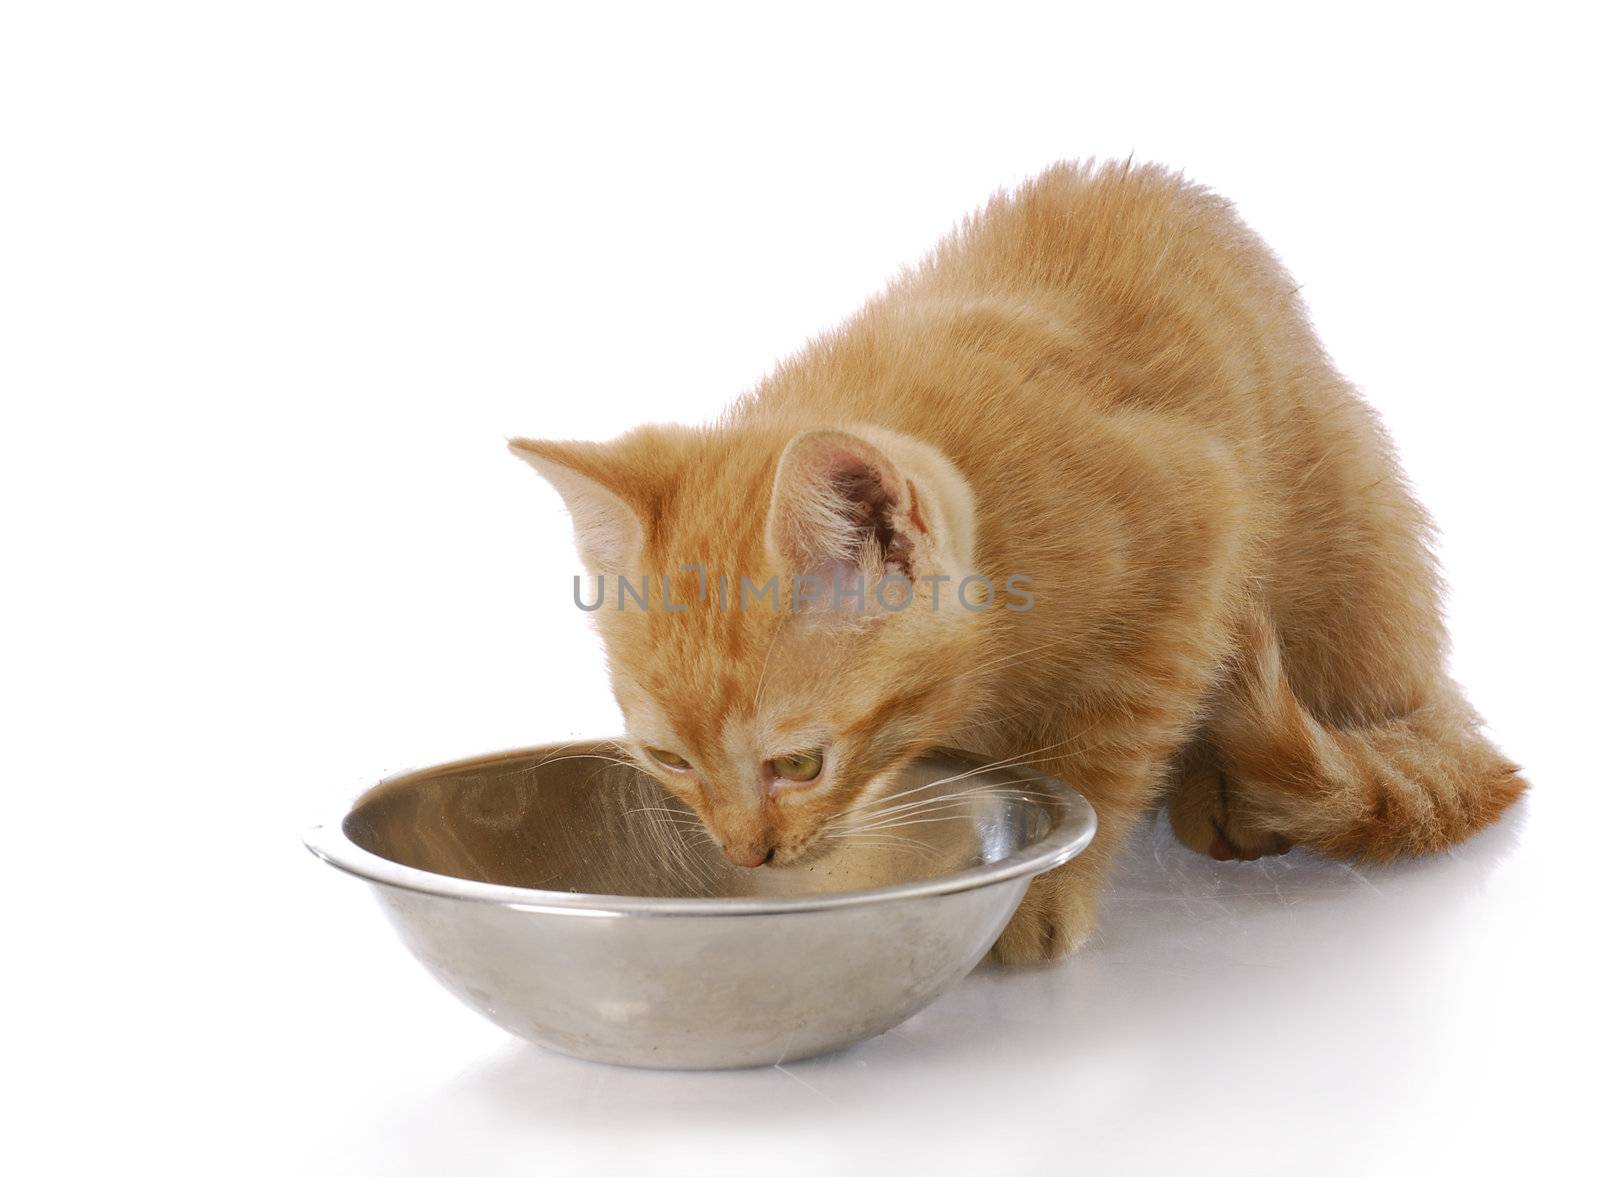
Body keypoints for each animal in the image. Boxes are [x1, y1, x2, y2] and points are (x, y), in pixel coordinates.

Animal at [512, 160, 1523, 959]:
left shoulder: (1200, 524)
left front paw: (1039, 897)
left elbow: (1105, 745)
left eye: (797, 763)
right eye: (668, 760)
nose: (743, 854)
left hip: (1344, 565)